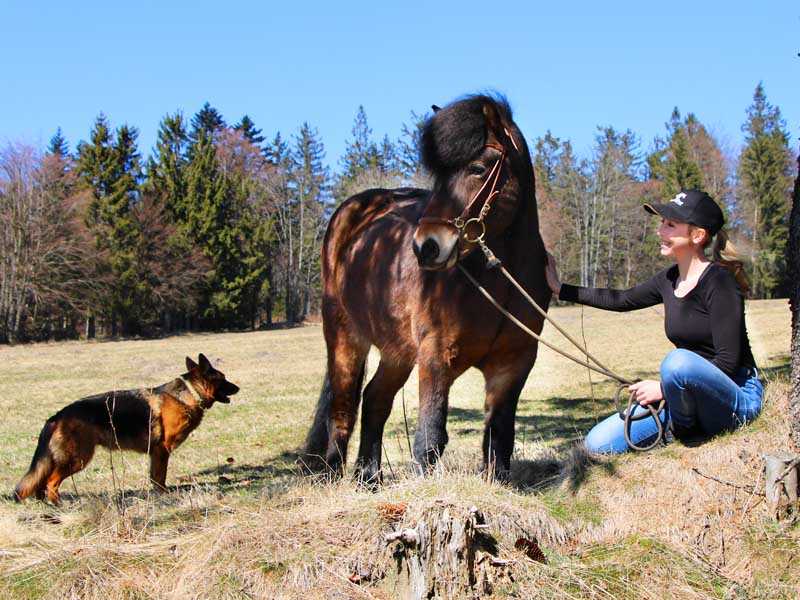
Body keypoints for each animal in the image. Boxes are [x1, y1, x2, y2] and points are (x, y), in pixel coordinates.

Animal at [14, 354, 239, 504]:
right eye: (223, 378)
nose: (238, 388)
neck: (190, 394)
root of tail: (57, 416)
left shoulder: (156, 453)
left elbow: (155, 476)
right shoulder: (162, 450)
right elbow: (160, 476)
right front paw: (163, 495)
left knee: (41, 483)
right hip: (77, 458)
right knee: (51, 482)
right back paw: (57, 504)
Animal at [302, 94, 552, 482]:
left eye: (478, 168)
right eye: (439, 176)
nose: (426, 247)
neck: (497, 284)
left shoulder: (513, 363)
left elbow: (499, 436)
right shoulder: (436, 357)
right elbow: (430, 438)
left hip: (398, 351)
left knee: (374, 400)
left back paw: (368, 478)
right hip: (344, 336)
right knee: (342, 408)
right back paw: (332, 474)